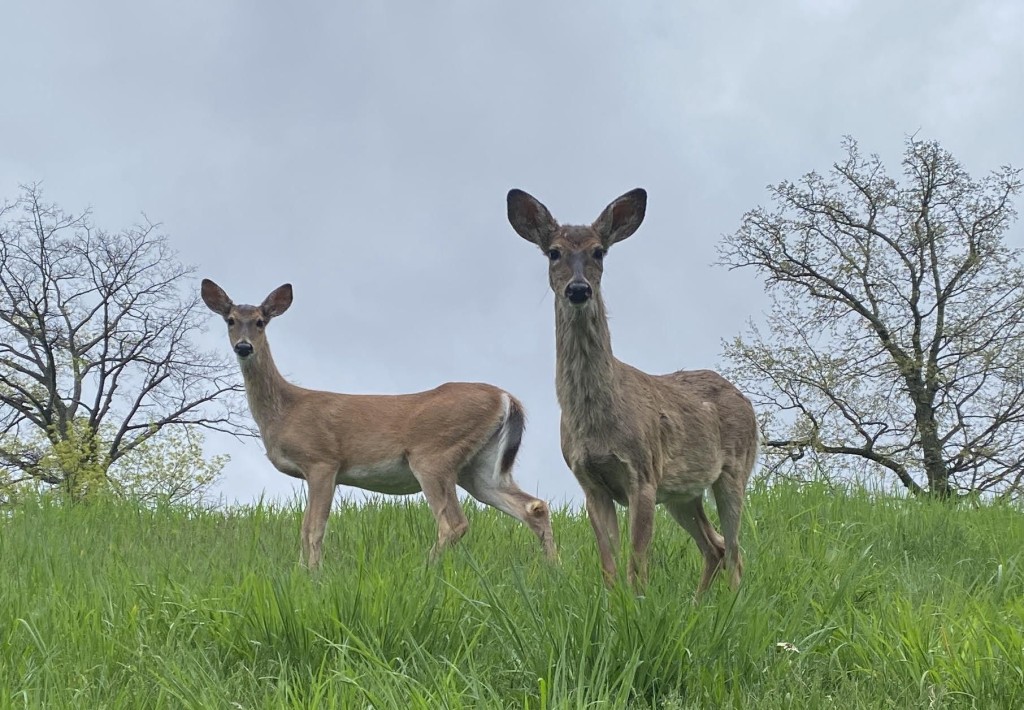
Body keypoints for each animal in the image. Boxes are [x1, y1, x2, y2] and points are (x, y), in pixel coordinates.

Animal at [201, 279, 555, 568]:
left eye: (260, 322)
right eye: (230, 320)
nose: (243, 346)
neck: (286, 409)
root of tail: (506, 397)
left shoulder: (322, 460)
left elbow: (313, 528)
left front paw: (312, 576)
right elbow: (305, 529)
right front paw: (303, 574)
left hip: (434, 454)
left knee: (454, 523)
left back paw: (425, 571)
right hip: (479, 467)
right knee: (534, 507)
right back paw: (554, 570)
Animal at [506, 188, 758, 596]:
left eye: (599, 251)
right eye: (554, 252)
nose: (579, 289)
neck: (596, 421)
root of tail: (745, 399)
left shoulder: (643, 474)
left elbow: (637, 564)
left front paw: (637, 604)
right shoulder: (590, 482)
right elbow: (609, 565)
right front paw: (613, 604)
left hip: (734, 469)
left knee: (736, 551)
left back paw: (732, 602)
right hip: (684, 492)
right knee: (715, 546)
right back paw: (698, 603)